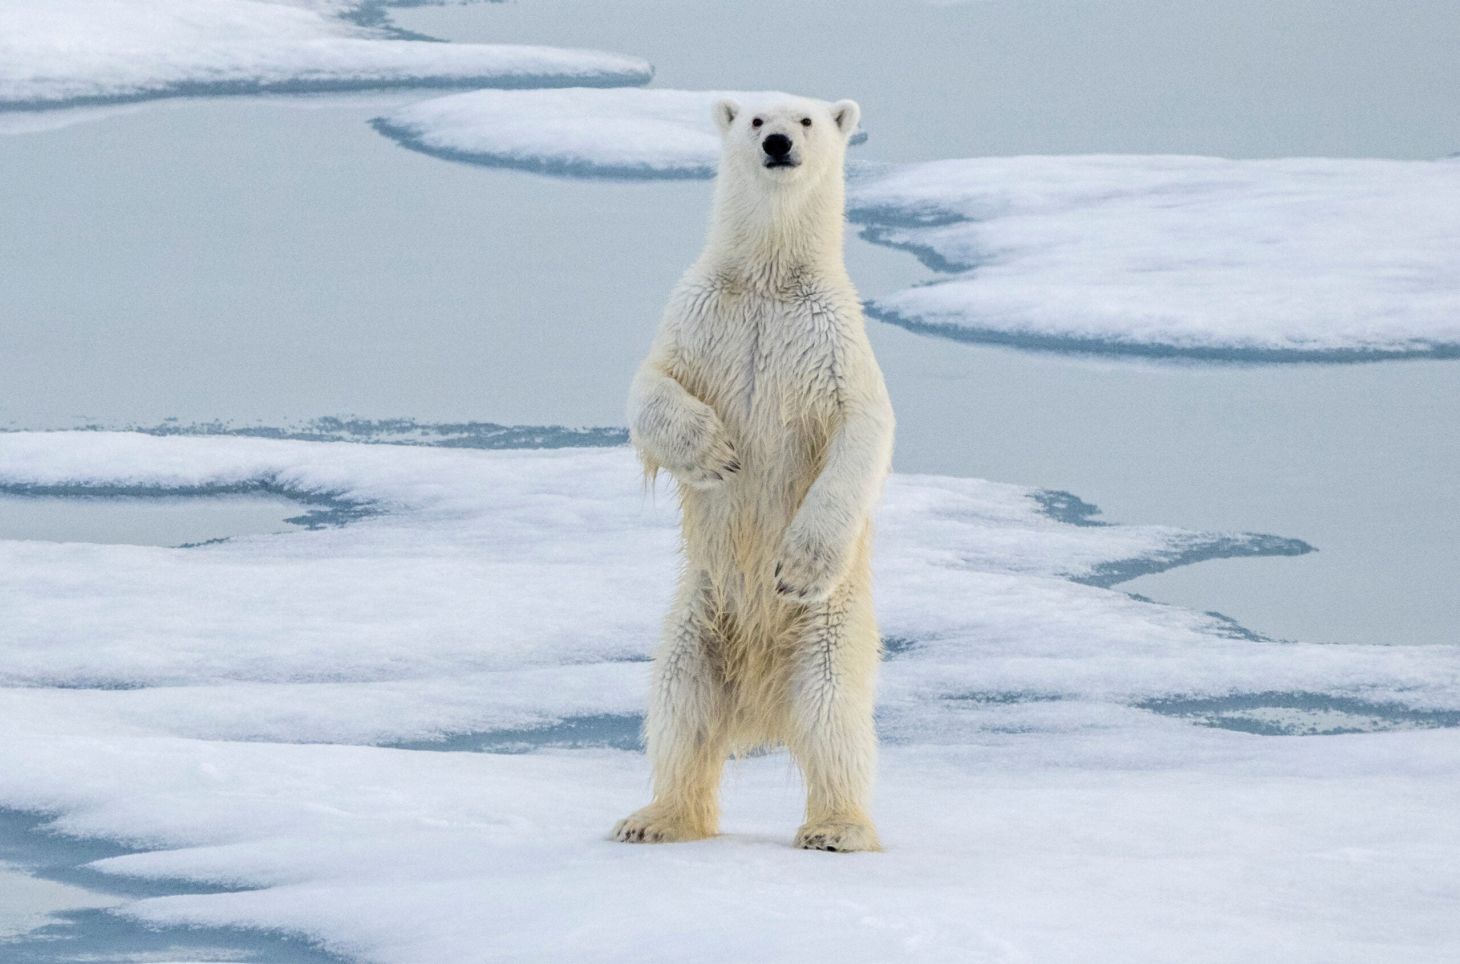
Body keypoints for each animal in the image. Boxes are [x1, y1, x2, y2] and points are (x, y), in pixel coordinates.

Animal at [612, 94, 894, 852]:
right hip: (696, 617)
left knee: (833, 718)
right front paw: (715, 453)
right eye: (757, 118)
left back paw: (836, 828)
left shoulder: (832, 340)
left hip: (829, 631)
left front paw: (794, 566)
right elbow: (650, 387)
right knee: (680, 708)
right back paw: (655, 818)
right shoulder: (699, 314)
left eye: (808, 121)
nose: (776, 144)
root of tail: (761, 707)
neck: (768, 279)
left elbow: (862, 431)